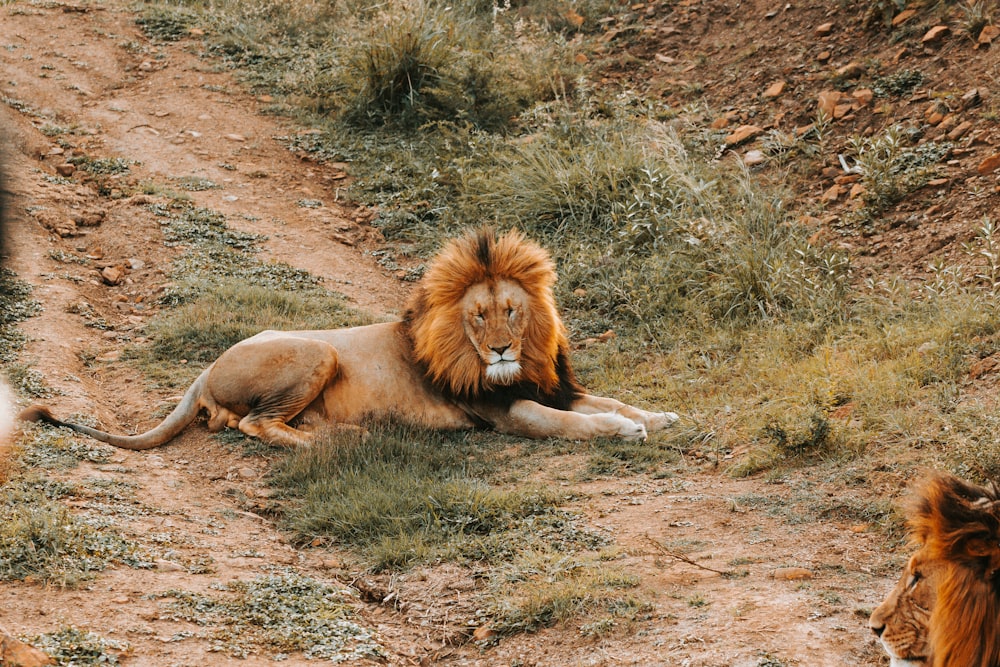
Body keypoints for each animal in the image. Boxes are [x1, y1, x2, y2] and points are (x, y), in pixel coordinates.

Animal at [21, 227, 680, 452]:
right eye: (478, 317)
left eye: (512, 312)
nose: (498, 350)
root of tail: (203, 370)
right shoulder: (504, 411)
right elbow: (571, 424)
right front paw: (625, 431)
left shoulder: (551, 385)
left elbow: (607, 400)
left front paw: (658, 416)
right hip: (319, 350)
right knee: (252, 425)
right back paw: (335, 442)